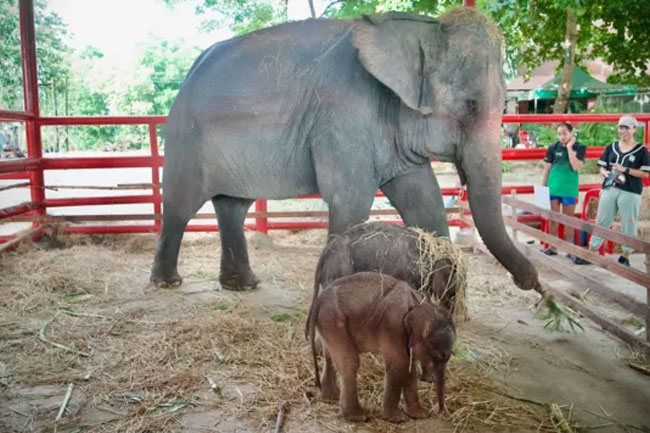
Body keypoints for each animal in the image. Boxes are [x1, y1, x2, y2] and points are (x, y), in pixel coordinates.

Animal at [152, 5, 540, 294]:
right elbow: (350, 200)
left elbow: (424, 198)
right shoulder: (344, 115)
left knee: (232, 206)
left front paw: (443, 301)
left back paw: (244, 285)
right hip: (186, 138)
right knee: (181, 205)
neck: (421, 27)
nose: (532, 284)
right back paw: (168, 282)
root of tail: (191, 71)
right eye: (470, 106)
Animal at [306, 272, 454, 420]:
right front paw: (398, 419)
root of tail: (318, 300)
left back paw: (331, 398)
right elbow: (399, 364)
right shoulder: (393, 324)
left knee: (329, 355)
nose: (439, 412)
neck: (420, 304)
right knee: (349, 363)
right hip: (334, 321)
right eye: (440, 355)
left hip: (327, 323)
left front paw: (419, 415)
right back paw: (358, 417)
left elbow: (409, 367)